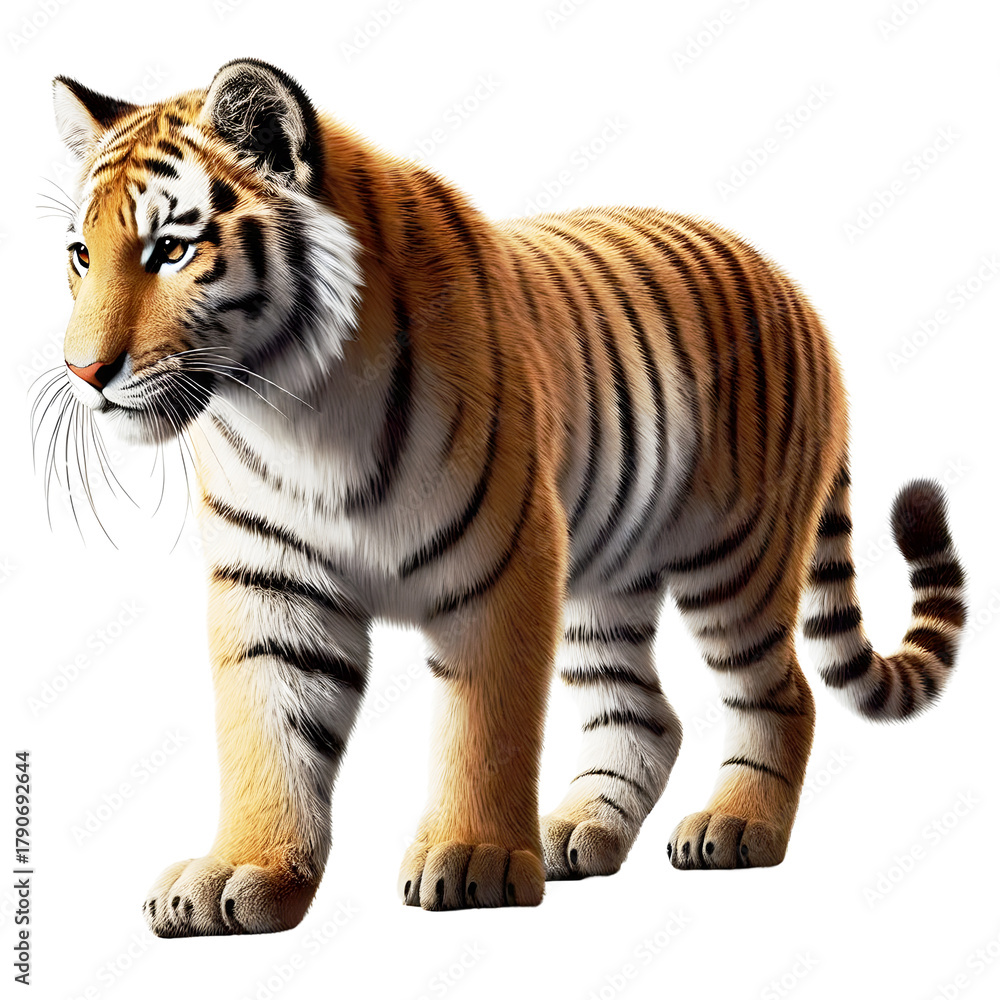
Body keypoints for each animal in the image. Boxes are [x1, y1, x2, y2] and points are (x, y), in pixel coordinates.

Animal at [43, 58, 967, 937]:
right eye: (81, 255)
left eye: (171, 250)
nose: (83, 373)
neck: (292, 411)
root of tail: (797, 294)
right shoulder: (272, 584)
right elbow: (265, 738)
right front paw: (243, 873)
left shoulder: (503, 564)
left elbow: (485, 729)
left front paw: (475, 859)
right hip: (606, 579)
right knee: (644, 715)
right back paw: (577, 831)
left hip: (736, 560)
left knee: (783, 695)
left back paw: (738, 827)